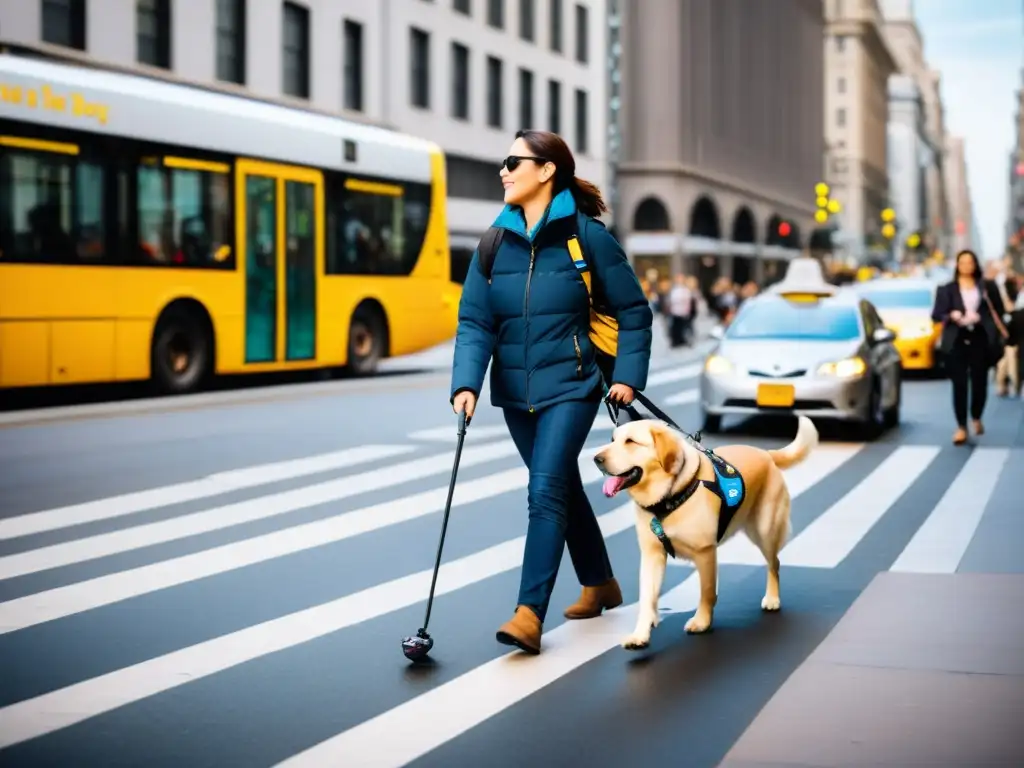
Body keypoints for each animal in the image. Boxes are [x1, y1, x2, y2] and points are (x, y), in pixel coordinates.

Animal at [593, 415, 815, 651]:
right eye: (613, 440)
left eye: (631, 442)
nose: (596, 459)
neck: (668, 497)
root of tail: (765, 453)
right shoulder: (652, 554)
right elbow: (647, 598)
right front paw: (640, 634)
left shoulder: (705, 552)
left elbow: (707, 592)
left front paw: (702, 622)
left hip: (765, 530)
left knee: (775, 563)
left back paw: (772, 598)